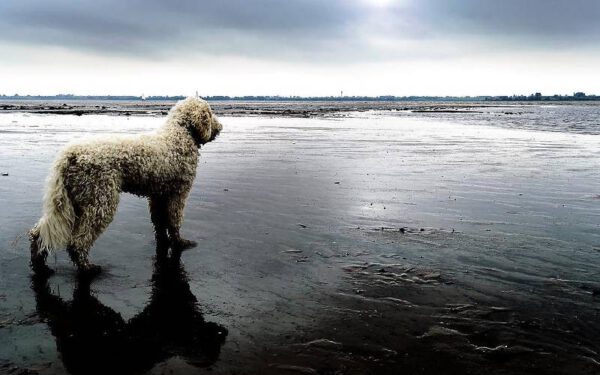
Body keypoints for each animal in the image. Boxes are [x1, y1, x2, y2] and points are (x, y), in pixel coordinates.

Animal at [29, 97, 221, 276]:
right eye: (210, 113)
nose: (220, 127)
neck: (180, 133)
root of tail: (69, 155)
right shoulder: (178, 193)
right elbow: (174, 220)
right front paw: (180, 242)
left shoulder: (158, 194)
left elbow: (160, 222)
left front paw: (164, 241)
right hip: (100, 200)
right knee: (78, 241)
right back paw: (87, 268)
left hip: (77, 199)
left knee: (39, 234)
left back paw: (40, 265)